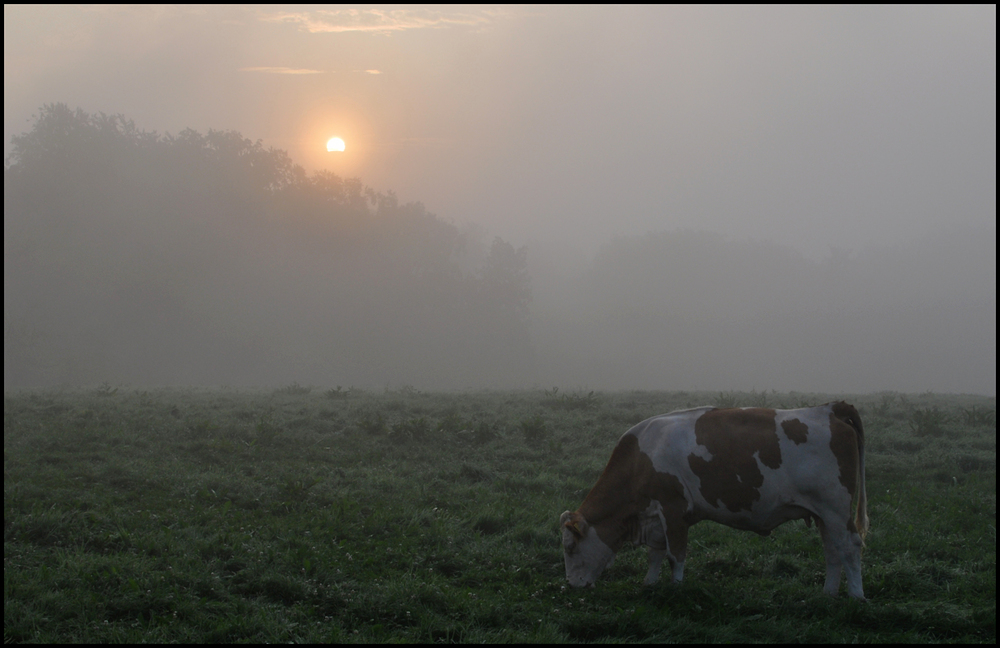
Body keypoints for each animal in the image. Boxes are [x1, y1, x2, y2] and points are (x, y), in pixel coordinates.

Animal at [564, 402, 868, 600]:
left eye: (570, 547)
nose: (571, 586)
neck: (640, 458)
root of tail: (830, 409)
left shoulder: (674, 509)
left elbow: (675, 555)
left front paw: (676, 588)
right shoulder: (655, 516)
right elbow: (656, 553)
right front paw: (649, 584)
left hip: (836, 510)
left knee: (850, 547)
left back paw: (856, 596)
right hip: (823, 514)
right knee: (832, 550)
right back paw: (828, 595)